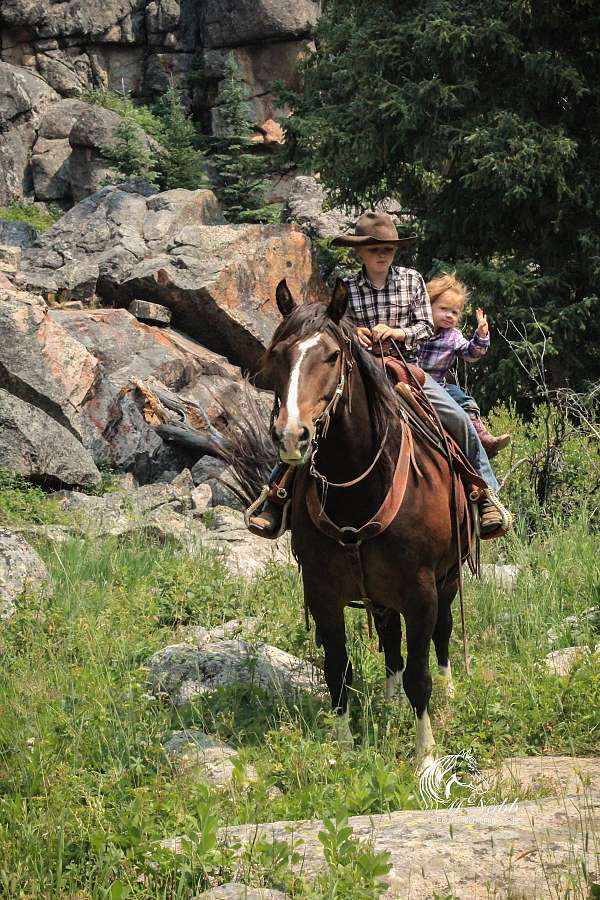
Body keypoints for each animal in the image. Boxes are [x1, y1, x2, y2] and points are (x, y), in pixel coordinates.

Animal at [246, 280, 466, 768]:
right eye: (279, 355)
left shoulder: (422, 592)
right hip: (380, 590)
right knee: (388, 634)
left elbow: (420, 672)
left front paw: (425, 755)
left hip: (449, 577)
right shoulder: (322, 590)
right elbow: (337, 669)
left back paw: (448, 692)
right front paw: (344, 746)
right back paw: (389, 698)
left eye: (331, 356)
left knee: (442, 634)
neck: (358, 488)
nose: (291, 436)